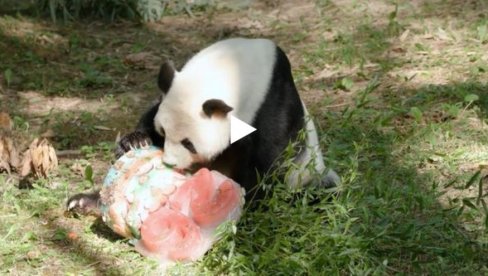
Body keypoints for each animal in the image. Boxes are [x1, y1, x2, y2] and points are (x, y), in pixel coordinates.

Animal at [66, 37, 340, 212]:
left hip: (310, 175)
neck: (231, 69)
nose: (170, 163)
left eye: (190, 144)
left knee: (320, 192)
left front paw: (242, 207)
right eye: (162, 132)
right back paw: (84, 202)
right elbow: (150, 113)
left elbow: (268, 162)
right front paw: (134, 141)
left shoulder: (270, 102)